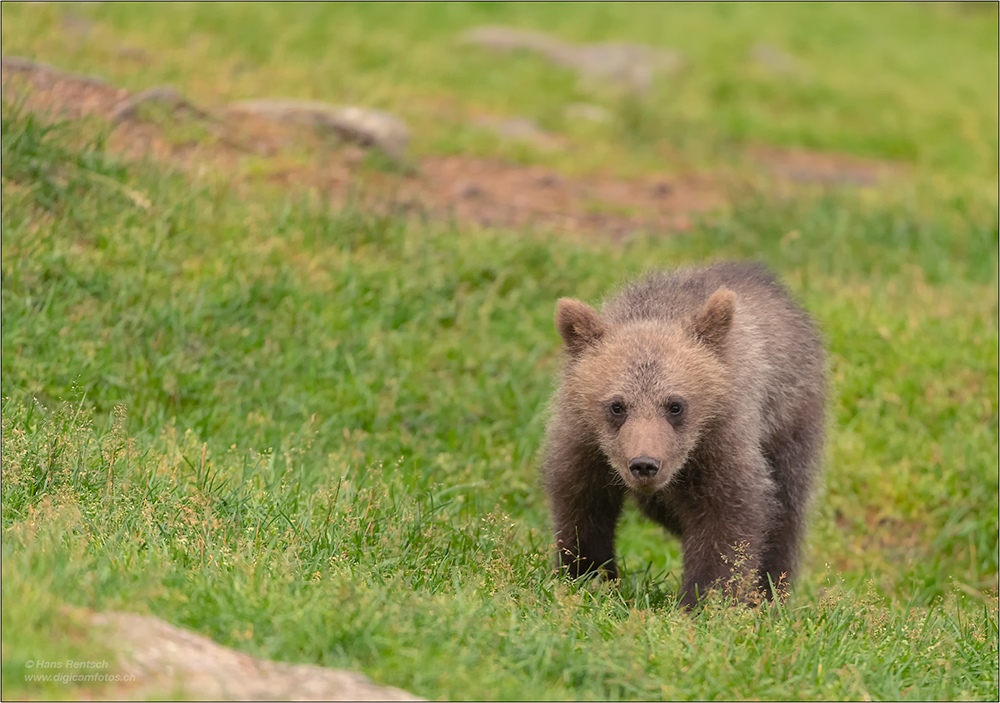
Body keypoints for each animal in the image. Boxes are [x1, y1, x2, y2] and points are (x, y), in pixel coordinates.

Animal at [544, 262, 824, 608]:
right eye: (617, 406)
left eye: (675, 405)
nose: (645, 464)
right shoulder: (584, 442)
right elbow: (581, 506)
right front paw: (588, 577)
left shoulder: (721, 441)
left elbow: (729, 518)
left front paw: (704, 600)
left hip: (788, 423)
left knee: (786, 515)